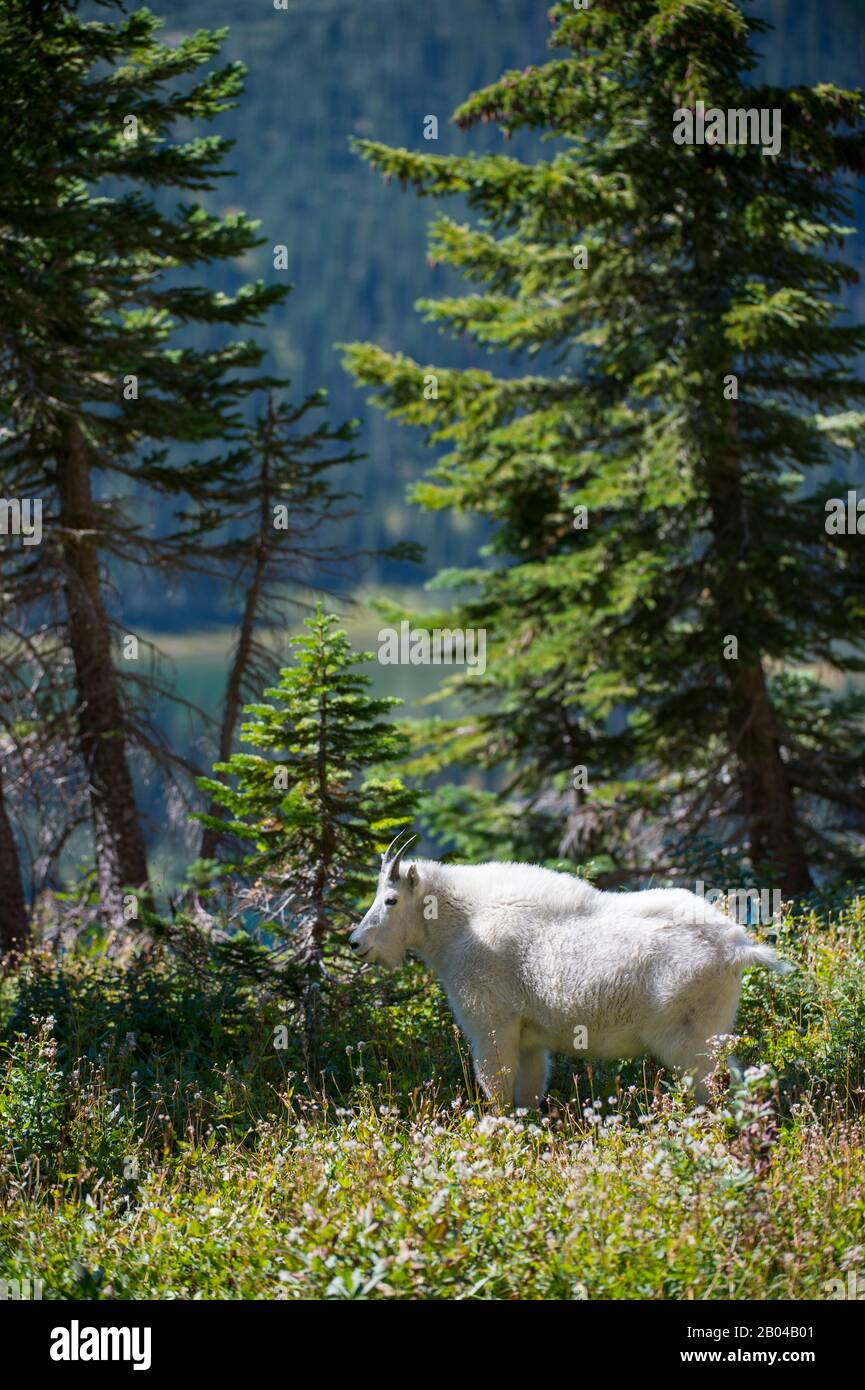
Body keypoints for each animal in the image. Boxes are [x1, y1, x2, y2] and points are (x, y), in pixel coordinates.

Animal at [349, 833, 793, 1107]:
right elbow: (527, 1095)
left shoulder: (491, 1024)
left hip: (688, 1036)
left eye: (390, 900)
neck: (460, 924)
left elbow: (497, 1092)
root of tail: (735, 946)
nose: (356, 943)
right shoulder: (529, 1037)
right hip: (714, 1031)